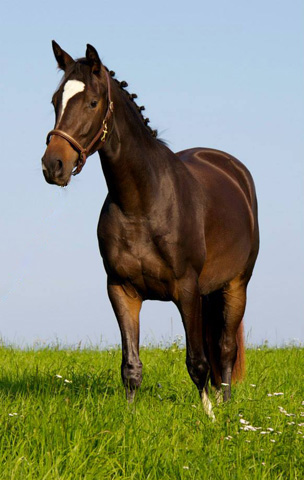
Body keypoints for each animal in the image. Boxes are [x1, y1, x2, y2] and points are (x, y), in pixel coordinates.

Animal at [41, 40, 258, 416]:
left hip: (236, 286)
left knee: (226, 349)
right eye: (57, 100)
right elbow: (131, 366)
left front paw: (209, 417)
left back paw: (226, 406)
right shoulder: (121, 290)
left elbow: (197, 362)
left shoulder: (187, 290)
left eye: (93, 102)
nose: (53, 165)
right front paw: (128, 417)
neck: (142, 203)